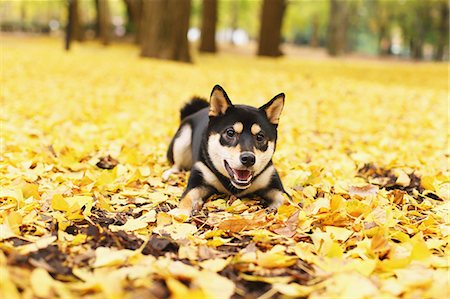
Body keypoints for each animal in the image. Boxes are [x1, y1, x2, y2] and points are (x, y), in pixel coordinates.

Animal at [163, 84, 290, 216]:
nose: (248, 159)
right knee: (177, 165)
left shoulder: (273, 182)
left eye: (260, 137)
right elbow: (187, 197)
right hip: (182, 139)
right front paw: (180, 213)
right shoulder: (198, 180)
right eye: (230, 133)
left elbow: (286, 200)